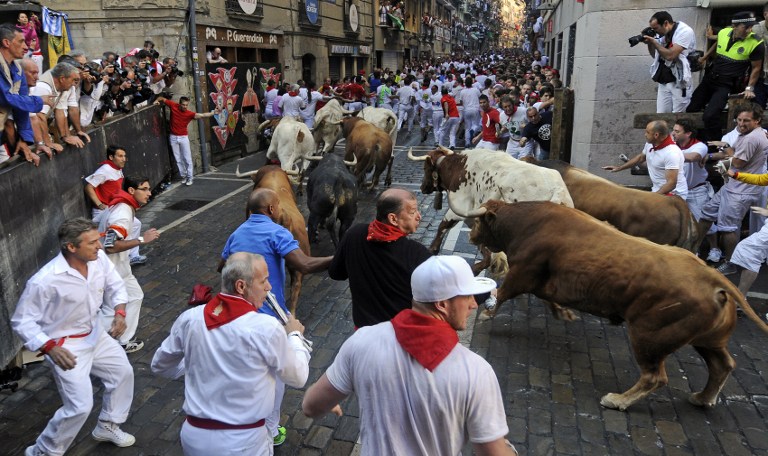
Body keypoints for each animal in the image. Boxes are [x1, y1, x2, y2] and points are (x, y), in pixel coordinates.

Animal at [462, 201, 768, 412]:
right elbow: (547, 297)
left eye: (479, 223)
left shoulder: (523, 271)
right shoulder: (542, 281)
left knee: (655, 377)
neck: (527, 222)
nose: (472, 236)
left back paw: (617, 400)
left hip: (649, 337)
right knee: (722, 365)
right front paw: (563, 311)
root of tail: (712, 278)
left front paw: (487, 313)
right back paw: (703, 398)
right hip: (706, 341)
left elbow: (504, 292)